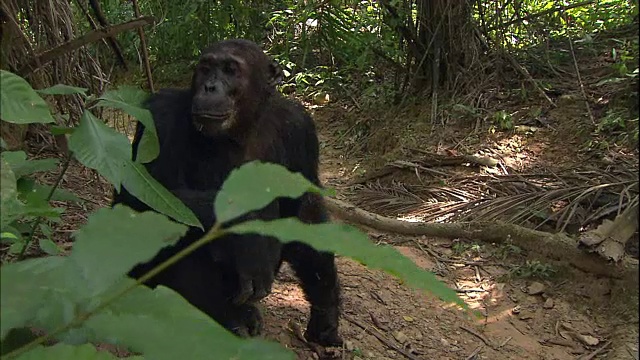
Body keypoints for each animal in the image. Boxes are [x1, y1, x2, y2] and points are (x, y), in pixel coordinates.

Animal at [111, 38, 340, 346]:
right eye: (206, 68)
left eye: (231, 70)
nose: (210, 87)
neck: (241, 128)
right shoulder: (160, 117)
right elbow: (138, 199)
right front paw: (250, 229)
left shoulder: (301, 130)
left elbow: (306, 212)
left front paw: (326, 316)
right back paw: (226, 317)